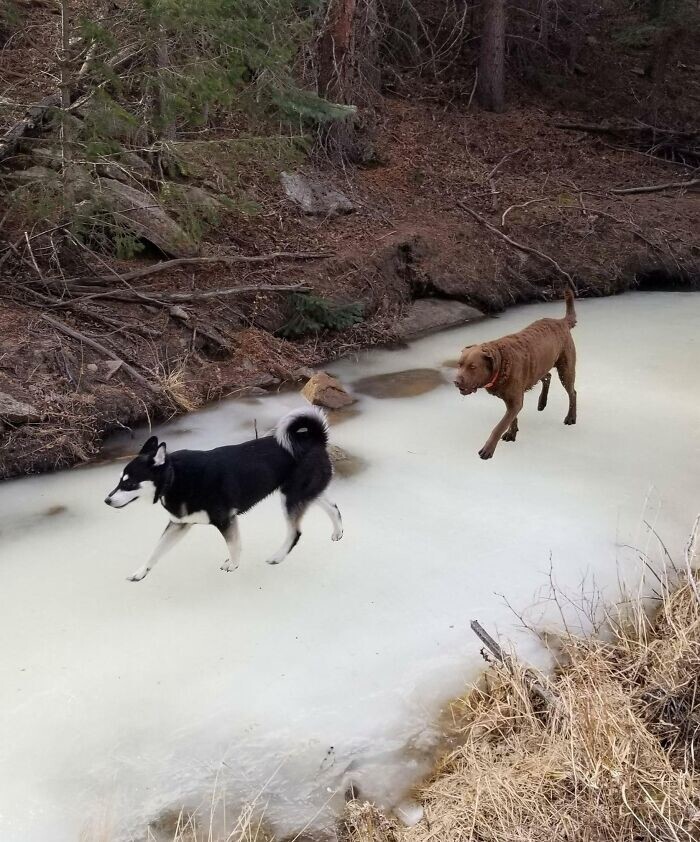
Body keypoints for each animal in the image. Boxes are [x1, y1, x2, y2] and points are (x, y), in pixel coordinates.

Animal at [104, 406, 342, 576]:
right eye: (119, 481)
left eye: (129, 484)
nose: (107, 500)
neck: (175, 477)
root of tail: (316, 439)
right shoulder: (179, 524)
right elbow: (156, 551)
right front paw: (140, 572)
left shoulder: (225, 519)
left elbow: (234, 545)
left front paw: (233, 565)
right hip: (303, 492)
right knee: (333, 507)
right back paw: (338, 532)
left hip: (291, 497)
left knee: (295, 532)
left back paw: (278, 556)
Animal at [456, 288, 576, 460]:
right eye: (459, 365)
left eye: (472, 367)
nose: (456, 381)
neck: (501, 362)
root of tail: (561, 321)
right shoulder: (511, 400)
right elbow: (512, 419)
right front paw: (511, 433)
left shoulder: (515, 400)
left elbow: (500, 426)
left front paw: (488, 449)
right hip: (540, 365)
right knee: (547, 376)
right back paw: (542, 403)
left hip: (565, 369)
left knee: (572, 392)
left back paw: (571, 417)